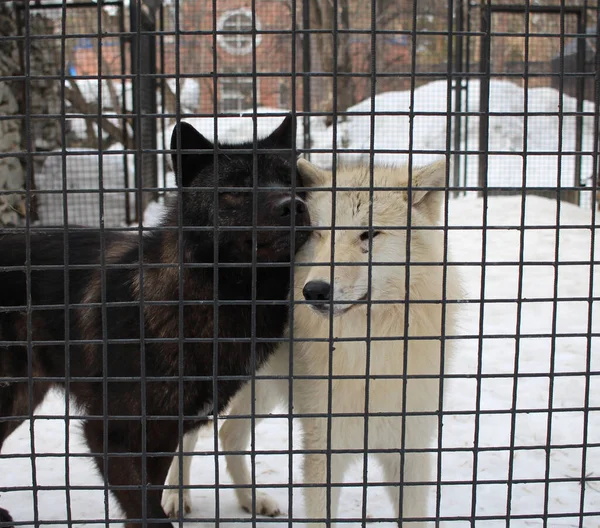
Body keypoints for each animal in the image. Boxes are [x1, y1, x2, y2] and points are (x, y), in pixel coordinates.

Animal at [0, 116, 310, 528]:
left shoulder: (164, 435)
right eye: (235, 189)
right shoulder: (109, 434)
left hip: (22, 397)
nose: (294, 206)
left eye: (290, 180)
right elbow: (146, 508)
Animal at [162, 159, 466, 524]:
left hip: (263, 391)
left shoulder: (409, 449)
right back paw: (176, 497)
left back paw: (252, 500)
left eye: (368, 234)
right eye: (318, 234)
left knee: (228, 435)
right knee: (187, 436)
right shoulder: (324, 449)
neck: (372, 350)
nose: (314, 291)